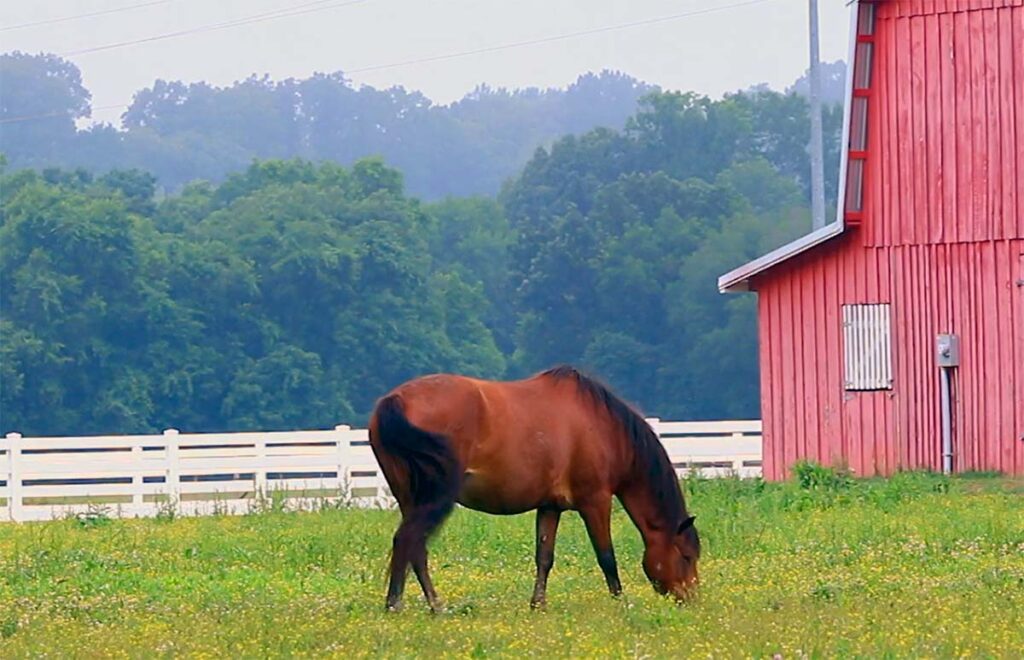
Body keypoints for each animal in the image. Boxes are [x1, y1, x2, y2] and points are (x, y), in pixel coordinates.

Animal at [368, 365, 700, 612]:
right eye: (686, 556)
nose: (691, 600)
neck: (602, 427)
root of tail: (395, 401)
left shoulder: (550, 507)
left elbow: (545, 557)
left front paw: (537, 604)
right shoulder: (596, 501)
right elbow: (606, 556)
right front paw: (621, 602)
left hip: (410, 499)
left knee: (413, 546)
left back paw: (420, 605)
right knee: (409, 542)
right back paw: (409, 605)